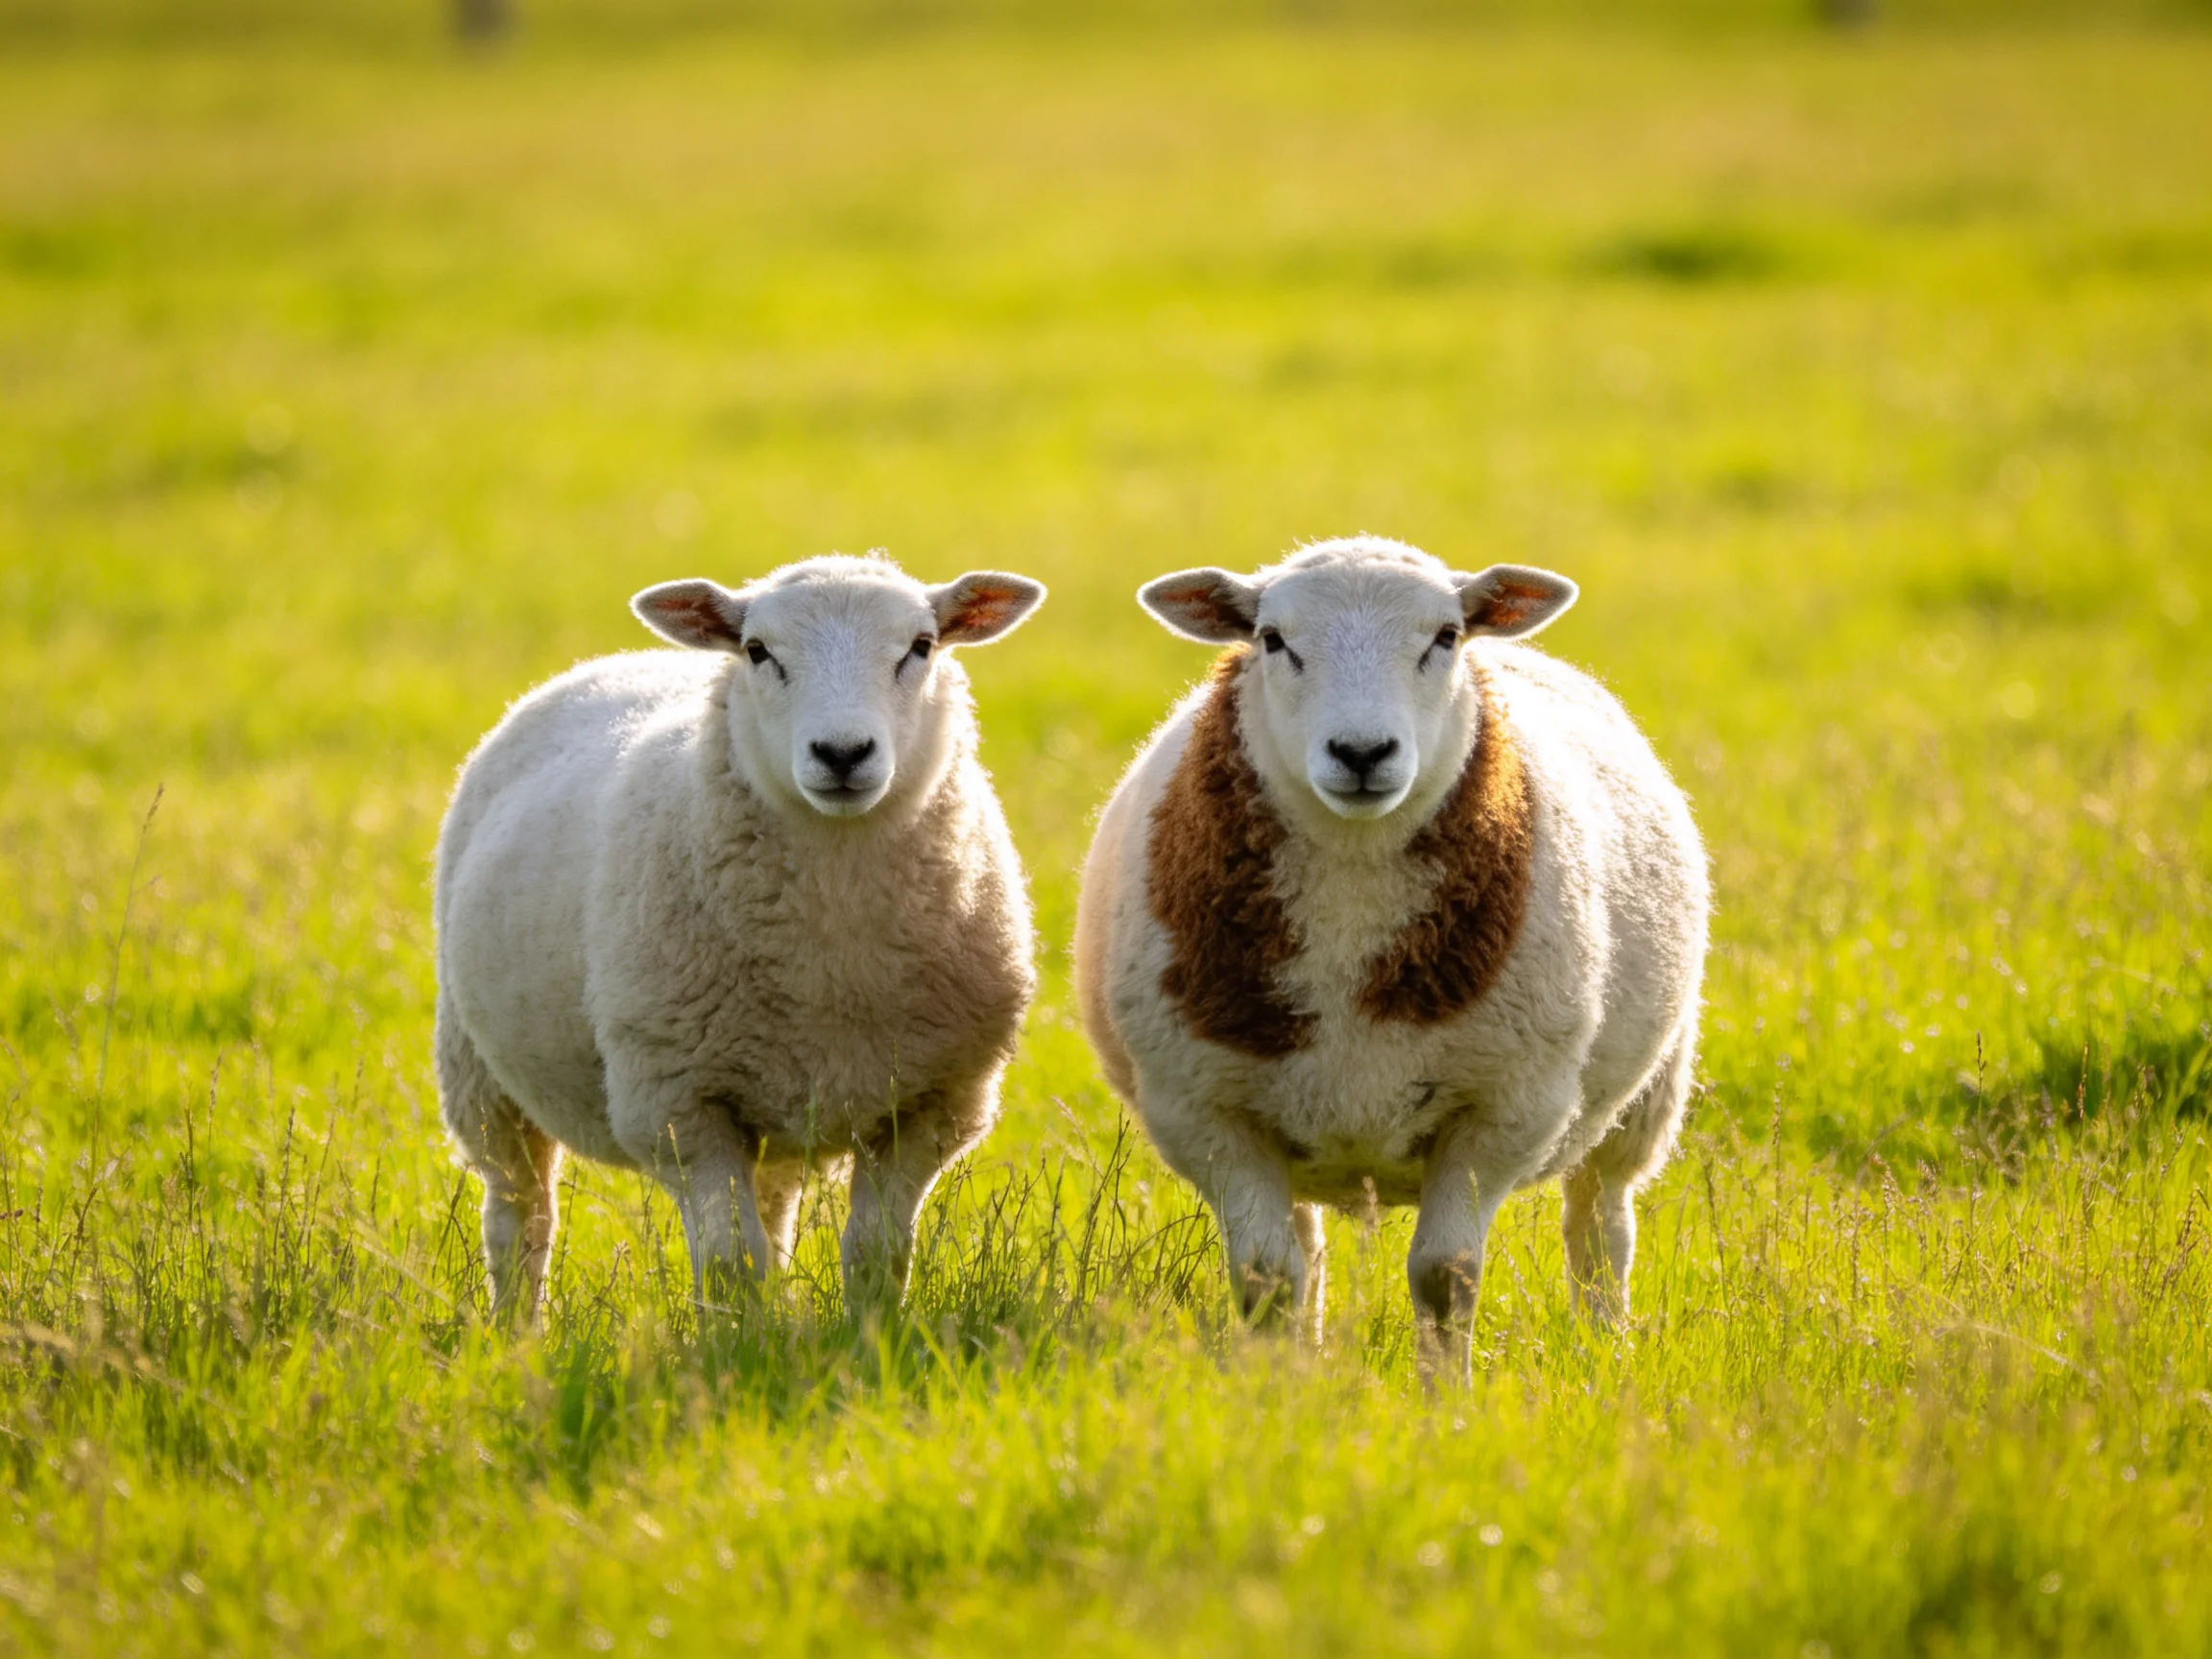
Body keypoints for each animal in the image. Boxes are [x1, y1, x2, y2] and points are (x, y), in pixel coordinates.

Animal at [434, 553, 1046, 1321]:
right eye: (758, 651)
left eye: (921, 646)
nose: (842, 753)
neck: (833, 957)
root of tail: (614, 661)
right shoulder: (680, 1105)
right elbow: (731, 1260)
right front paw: (736, 1343)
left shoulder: (930, 1103)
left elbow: (875, 1253)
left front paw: (870, 1334)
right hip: (479, 1075)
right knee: (520, 1216)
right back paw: (516, 1332)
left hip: (781, 1103)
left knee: (774, 1207)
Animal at [1074, 535, 1707, 1373]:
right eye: (1272, 640)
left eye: (1445, 635)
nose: (1362, 751)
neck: (1352, 883)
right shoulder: (1207, 1113)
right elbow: (1267, 1278)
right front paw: (1276, 1390)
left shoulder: (1500, 1112)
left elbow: (1445, 1278)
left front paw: (1448, 1397)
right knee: (1305, 1250)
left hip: (1646, 1095)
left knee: (1601, 1226)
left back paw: (1605, 1352)